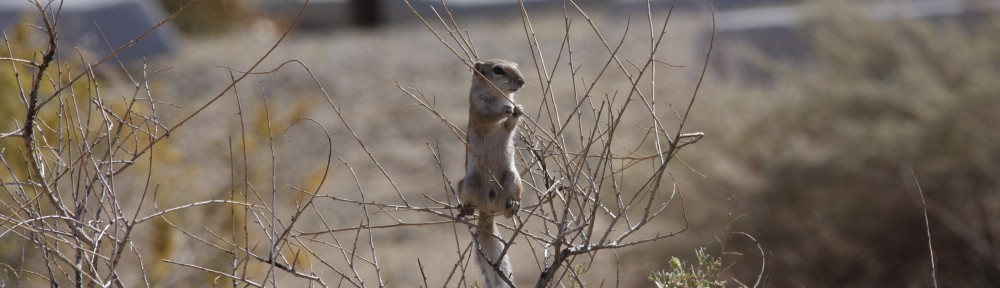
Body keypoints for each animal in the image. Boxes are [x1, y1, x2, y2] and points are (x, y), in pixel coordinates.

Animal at [458, 59, 528, 288]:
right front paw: (507, 108)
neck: (499, 96)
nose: (522, 82)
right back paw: (467, 208)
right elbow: (488, 117)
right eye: (498, 70)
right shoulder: (477, 109)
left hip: (513, 179)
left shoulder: (506, 124)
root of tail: (487, 211)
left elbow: (509, 125)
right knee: (467, 197)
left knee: (507, 209)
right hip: (469, 183)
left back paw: (513, 205)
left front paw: (518, 109)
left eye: (516, 66)